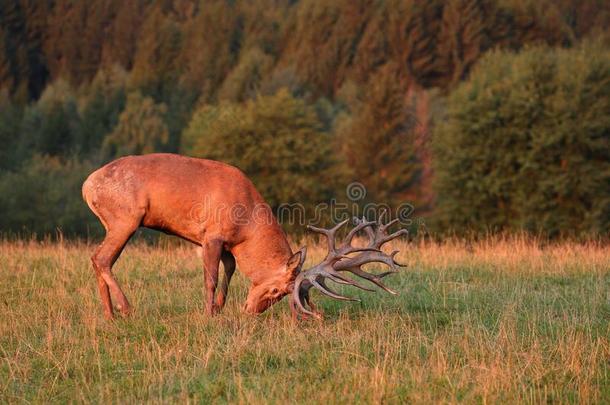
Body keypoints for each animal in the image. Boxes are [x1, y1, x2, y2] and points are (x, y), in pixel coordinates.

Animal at [79, 152, 404, 318]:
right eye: (276, 290)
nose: (250, 311)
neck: (246, 227)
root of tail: (87, 185)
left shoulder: (228, 245)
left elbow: (231, 269)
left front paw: (220, 308)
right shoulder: (210, 235)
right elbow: (210, 277)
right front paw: (209, 314)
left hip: (114, 223)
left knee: (99, 259)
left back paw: (109, 315)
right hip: (125, 217)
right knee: (101, 258)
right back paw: (125, 308)